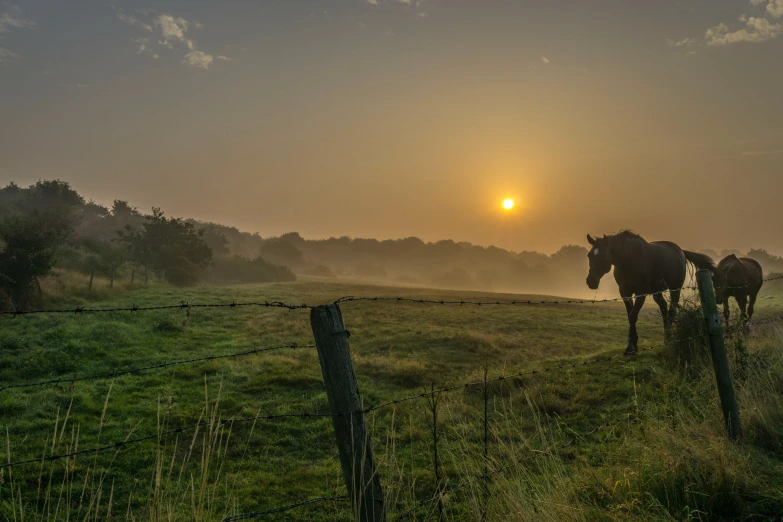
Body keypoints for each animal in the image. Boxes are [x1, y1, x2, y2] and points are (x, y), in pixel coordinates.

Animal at [580, 231, 716, 354]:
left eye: (603, 255)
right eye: (589, 255)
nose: (591, 281)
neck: (629, 261)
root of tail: (680, 251)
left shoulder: (641, 293)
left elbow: (633, 316)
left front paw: (631, 348)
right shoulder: (625, 293)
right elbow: (630, 316)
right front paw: (632, 345)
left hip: (675, 289)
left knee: (672, 310)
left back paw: (669, 339)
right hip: (656, 292)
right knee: (664, 308)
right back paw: (666, 338)